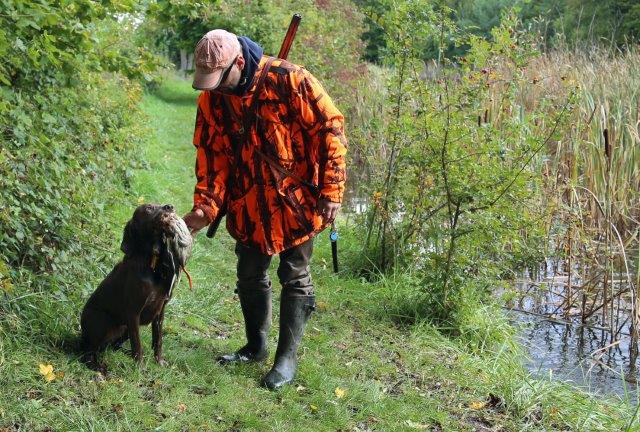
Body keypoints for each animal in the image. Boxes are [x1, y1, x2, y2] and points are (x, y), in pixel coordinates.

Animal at [80, 203, 192, 369]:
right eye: (148, 208)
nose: (169, 207)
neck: (151, 263)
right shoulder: (133, 312)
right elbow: (137, 344)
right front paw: (140, 367)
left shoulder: (160, 311)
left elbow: (158, 340)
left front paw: (159, 361)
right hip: (104, 321)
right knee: (89, 351)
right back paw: (98, 366)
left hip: (123, 328)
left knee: (110, 346)